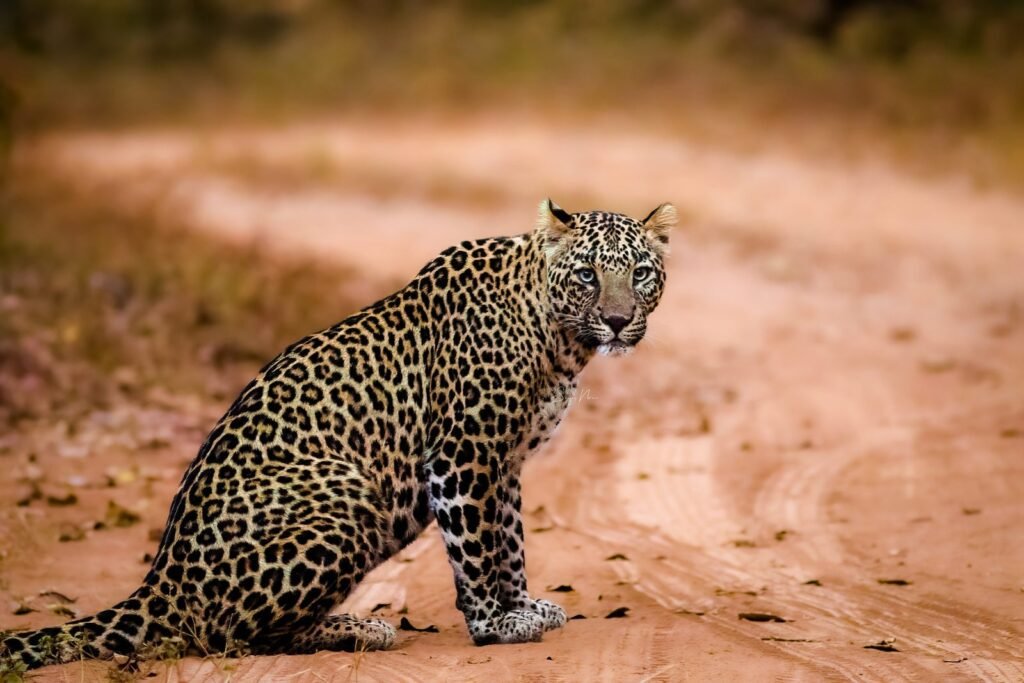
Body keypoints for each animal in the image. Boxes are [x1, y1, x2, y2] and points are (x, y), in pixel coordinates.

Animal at [1, 199, 675, 669]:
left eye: (641, 272)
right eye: (587, 274)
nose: (618, 321)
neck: (558, 339)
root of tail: (160, 580)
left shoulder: (502, 460)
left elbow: (508, 541)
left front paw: (523, 605)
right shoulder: (463, 454)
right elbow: (477, 546)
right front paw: (495, 624)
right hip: (346, 496)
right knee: (223, 635)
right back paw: (360, 629)